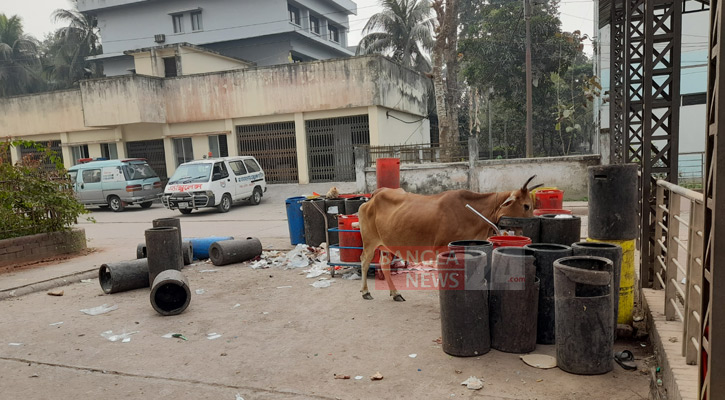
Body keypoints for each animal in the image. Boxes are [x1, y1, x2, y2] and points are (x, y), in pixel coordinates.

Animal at [360, 175, 540, 300]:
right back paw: (365, 292)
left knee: (384, 264)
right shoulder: (442, 249)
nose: (531, 223)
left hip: (386, 245)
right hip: (369, 242)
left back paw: (395, 293)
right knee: (364, 261)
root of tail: (375, 195)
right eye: (526, 206)